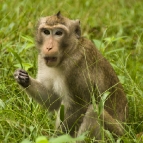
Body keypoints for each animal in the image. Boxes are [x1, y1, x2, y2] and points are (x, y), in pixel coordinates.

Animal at [13, 11, 127, 142]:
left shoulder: (76, 67)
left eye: (59, 33)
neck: (67, 53)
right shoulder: (41, 60)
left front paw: (56, 138)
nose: (48, 47)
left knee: (93, 110)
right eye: (46, 32)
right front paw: (23, 78)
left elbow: (77, 107)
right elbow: (54, 101)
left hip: (114, 134)